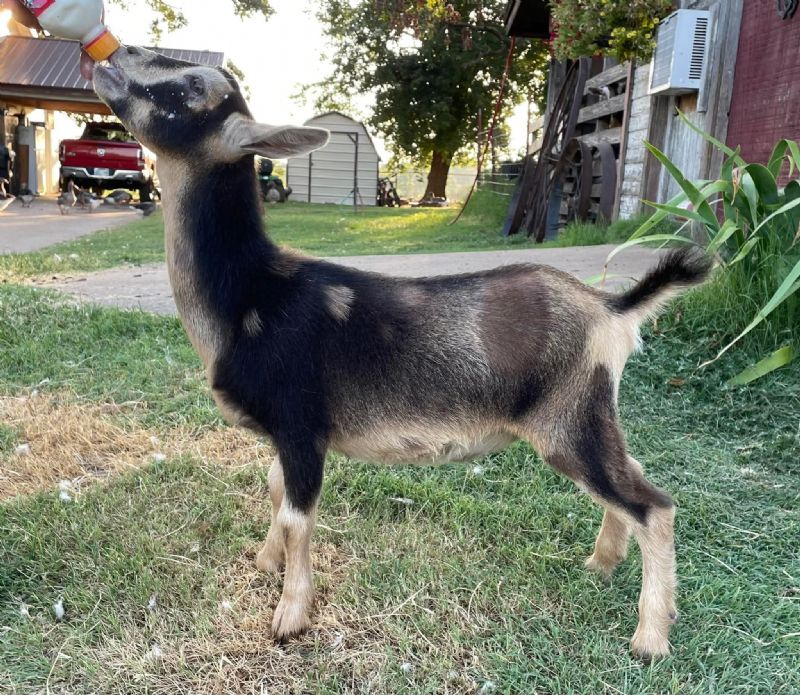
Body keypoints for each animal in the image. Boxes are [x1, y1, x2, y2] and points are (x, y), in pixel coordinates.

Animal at [90, 45, 711, 659]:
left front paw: (289, 617)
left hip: (568, 421)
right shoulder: (287, 433)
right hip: (589, 417)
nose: (117, 54)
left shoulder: (302, 424)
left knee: (653, 505)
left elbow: (296, 517)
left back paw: (650, 639)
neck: (251, 294)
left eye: (193, 89)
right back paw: (601, 563)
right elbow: (273, 490)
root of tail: (612, 310)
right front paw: (266, 563)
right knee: (632, 477)